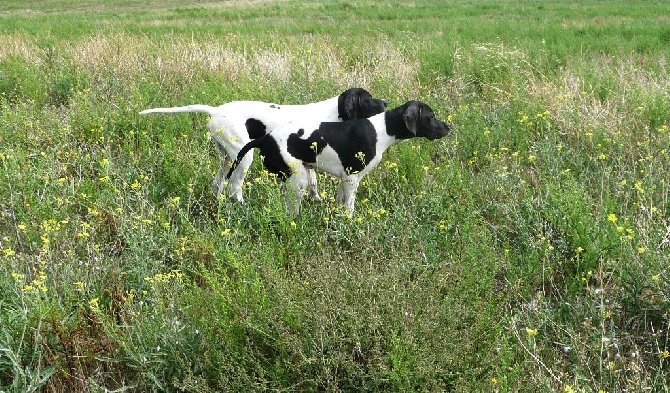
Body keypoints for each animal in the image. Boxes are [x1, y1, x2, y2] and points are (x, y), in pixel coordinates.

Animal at [139, 87, 386, 201]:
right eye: (368, 98)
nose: (386, 102)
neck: (331, 114)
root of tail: (215, 110)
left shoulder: (308, 161)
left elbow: (314, 184)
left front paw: (316, 200)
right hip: (243, 156)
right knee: (235, 187)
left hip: (227, 158)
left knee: (218, 184)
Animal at [228, 99, 454, 213]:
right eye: (431, 116)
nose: (448, 127)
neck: (381, 130)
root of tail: (265, 139)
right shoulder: (353, 178)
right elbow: (349, 207)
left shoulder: (345, 178)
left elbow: (340, 201)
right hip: (298, 178)